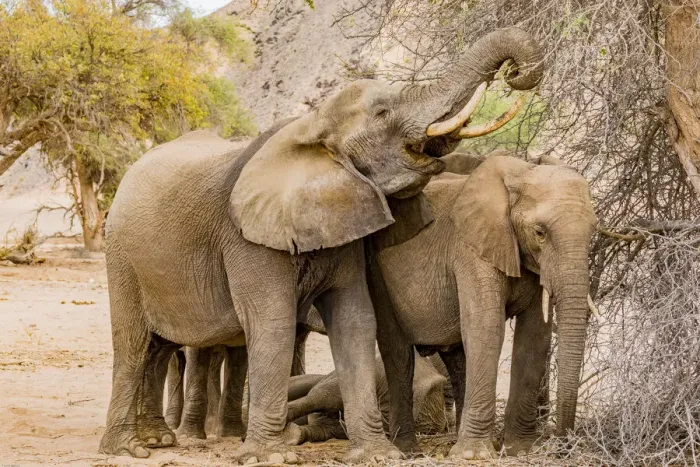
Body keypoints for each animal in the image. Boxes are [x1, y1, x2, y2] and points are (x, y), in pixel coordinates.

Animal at [98, 27, 544, 463]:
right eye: (382, 114)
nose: (514, 73)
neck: (311, 127)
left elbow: (355, 319)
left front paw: (376, 455)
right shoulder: (245, 237)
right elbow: (272, 320)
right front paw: (272, 456)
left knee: (158, 347)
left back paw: (157, 440)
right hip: (120, 254)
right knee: (133, 341)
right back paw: (127, 448)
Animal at [368, 154, 598, 459]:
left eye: (593, 230)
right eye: (540, 232)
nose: (563, 447)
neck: (520, 173)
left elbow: (534, 336)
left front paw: (520, 450)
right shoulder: (471, 250)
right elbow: (486, 328)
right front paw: (473, 455)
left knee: (456, 358)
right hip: (376, 274)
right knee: (398, 354)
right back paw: (408, 451)